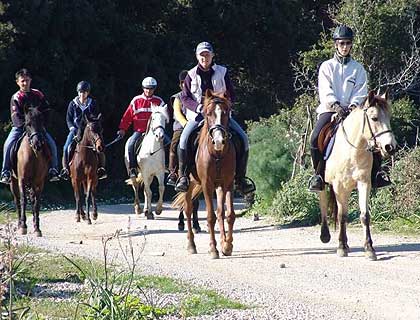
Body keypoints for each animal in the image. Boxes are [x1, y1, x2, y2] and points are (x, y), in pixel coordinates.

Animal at [10, 105, 50, 235]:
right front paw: (23, 226)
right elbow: (23, 200)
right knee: (17, 200)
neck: (33, 153)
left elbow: (37, 203)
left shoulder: (39, 182)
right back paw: (19, 224)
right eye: (28, 123)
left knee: (32, 199)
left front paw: (37, 228)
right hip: (13, 182)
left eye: (41, 122)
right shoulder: (21, 180)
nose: (38, 144)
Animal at [172, 90, 235, 260]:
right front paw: (213, 249)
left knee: (220, 212)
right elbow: (210, 216)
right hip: (190, 184)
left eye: (226, 112)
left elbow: (228, 214)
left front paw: (227, 246)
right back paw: (191, 245)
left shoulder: (227, 183)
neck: (217, 154)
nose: (219, 141)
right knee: (187, 209)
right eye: (208, 113)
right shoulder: (207, 184)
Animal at [318, 90, 398, 260]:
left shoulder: (364, 183)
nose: (390, 147)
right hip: (325, 183)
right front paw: (341, 247)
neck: (352, 150)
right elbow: (341, 216)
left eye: (389, 117)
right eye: (374, 118)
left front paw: (369, 248)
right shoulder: (339, 186)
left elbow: (364, 215)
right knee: (323, 203)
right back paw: (326, 235)